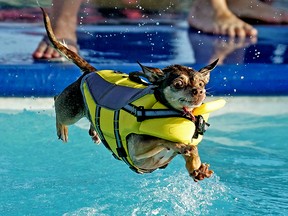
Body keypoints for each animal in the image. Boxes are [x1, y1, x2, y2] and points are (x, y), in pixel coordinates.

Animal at [40, 7, 217, 181]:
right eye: (178, 84)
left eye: (201, 84)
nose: (200, 91)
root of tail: (91, 71)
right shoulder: (137, 150)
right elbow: (168, 140)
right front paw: (188, 153)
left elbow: (188, 149)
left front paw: (196, 168)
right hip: (71, 111)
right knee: (57, 102)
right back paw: (62, 129)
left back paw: (95, 133)